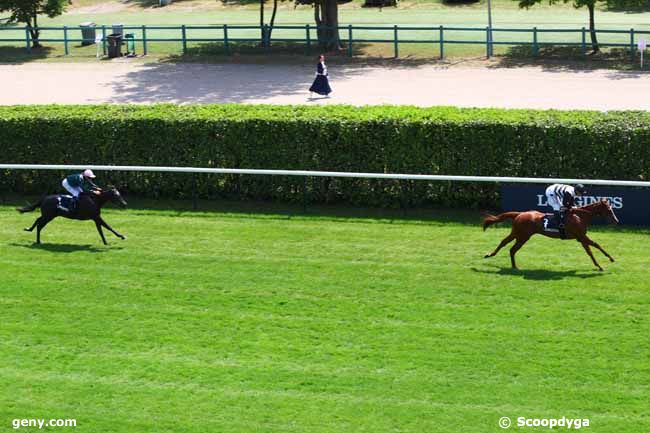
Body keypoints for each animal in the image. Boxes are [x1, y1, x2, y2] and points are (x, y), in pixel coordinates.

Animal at [480, 199, 616, 270]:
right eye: (609, 210)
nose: (616, 220)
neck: (580, 216)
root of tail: (519, 214)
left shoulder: (580, 238)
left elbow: (592, 249)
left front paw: (604, 262)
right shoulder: (581, 236)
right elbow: (595, 247)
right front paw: (606, 262)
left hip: (519, 234)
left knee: (508, 246)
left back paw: (510, 264)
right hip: (522, 235)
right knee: (509, 246)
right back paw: (495, 257)